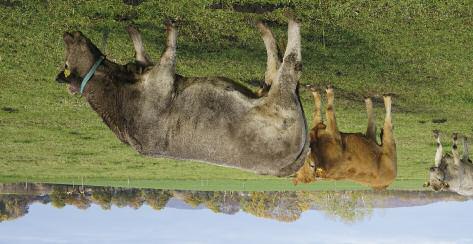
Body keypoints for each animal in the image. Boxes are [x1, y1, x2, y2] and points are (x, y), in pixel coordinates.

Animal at [55, 18, 310, 175]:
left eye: (67, 61)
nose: (67, 34)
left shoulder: (152, 71)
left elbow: (145, 52)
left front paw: (134, 30)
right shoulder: (161, 79)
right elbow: (169, 52)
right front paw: (171, 30)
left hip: (271, 93)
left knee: (274, 67)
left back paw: (264, 27)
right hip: (281, 100)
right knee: (290, 64)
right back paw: (289, 21)